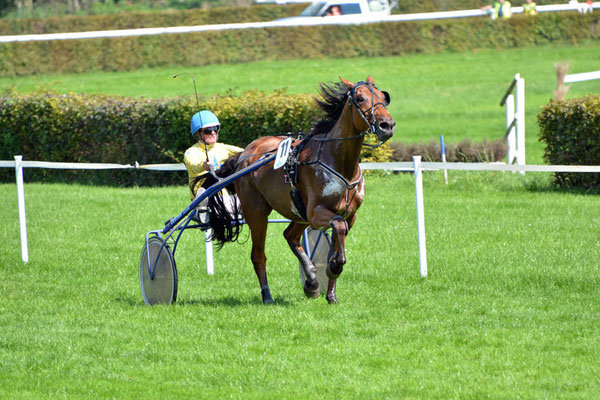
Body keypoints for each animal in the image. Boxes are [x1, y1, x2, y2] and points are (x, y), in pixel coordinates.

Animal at [204, 76, 396, 304]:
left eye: (384, 97)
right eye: (360, 98)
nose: (387, 125)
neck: (340, 162)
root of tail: (245, 154)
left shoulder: (349, 214)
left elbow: (338, 235)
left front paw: (330, 292)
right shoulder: (316, 213)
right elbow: (338, 228)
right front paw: (333, 266)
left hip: (298, 212)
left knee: (290, 235)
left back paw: (312, 281)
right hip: (257, 213)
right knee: (258, 256)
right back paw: (267, 295)